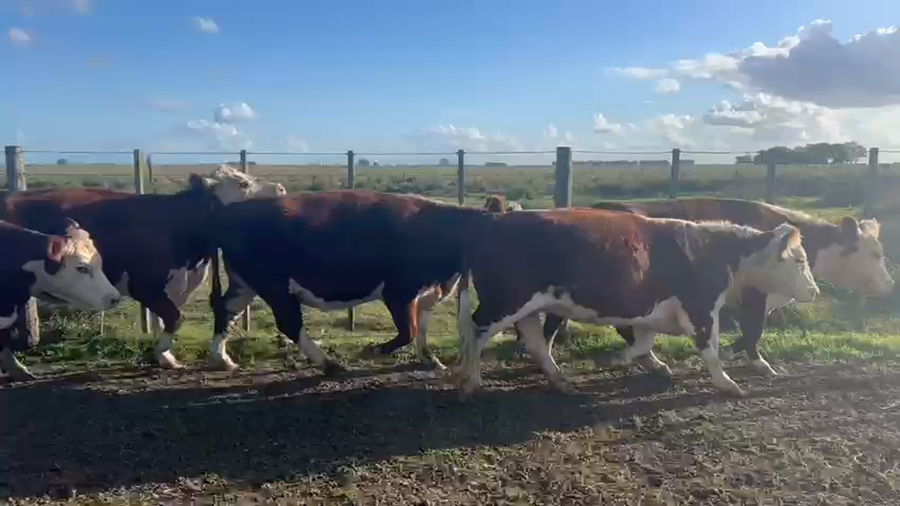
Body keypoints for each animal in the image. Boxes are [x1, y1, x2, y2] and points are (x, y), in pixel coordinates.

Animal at [205, 190, 499, 374]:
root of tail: (231, 211)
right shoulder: (399, 292)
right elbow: (409, 330)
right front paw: (375, 350)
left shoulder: (425, 293)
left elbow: (421, 328)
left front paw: (431, 359)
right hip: (274, 286)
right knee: (289, 323)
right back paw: (329, 364)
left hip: (245, 284)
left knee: (225, 310)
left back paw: (223, 359)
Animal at [450, 208, 820, 398]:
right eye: (800, 260)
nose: (816, 292)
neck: (713, 251)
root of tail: (494, 222)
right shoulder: (700, 309)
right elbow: (710, 349)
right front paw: (726, 383)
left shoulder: (650, 310)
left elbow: (643, 343)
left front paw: (622, 360)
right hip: (504, 300)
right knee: (476, 330)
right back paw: (470, 381)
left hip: (527, 305)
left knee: (535, 341)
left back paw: (560, 380)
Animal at [536, 198, 895, 376]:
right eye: (875, 253)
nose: (890, 284)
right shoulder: (754, 297)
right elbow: (753, 331)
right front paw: (755, 361)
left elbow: (747, 331)